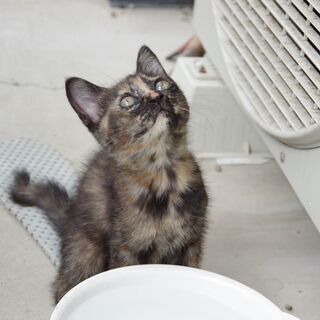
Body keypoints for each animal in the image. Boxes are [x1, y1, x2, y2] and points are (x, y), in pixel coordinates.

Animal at [10, 45, 208, 302]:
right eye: (127, 100)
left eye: (162, 84)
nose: (156, 97)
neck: (166, 178)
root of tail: (68, 221)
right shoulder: (125, 251)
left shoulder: (192, 244)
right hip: (86, 254)